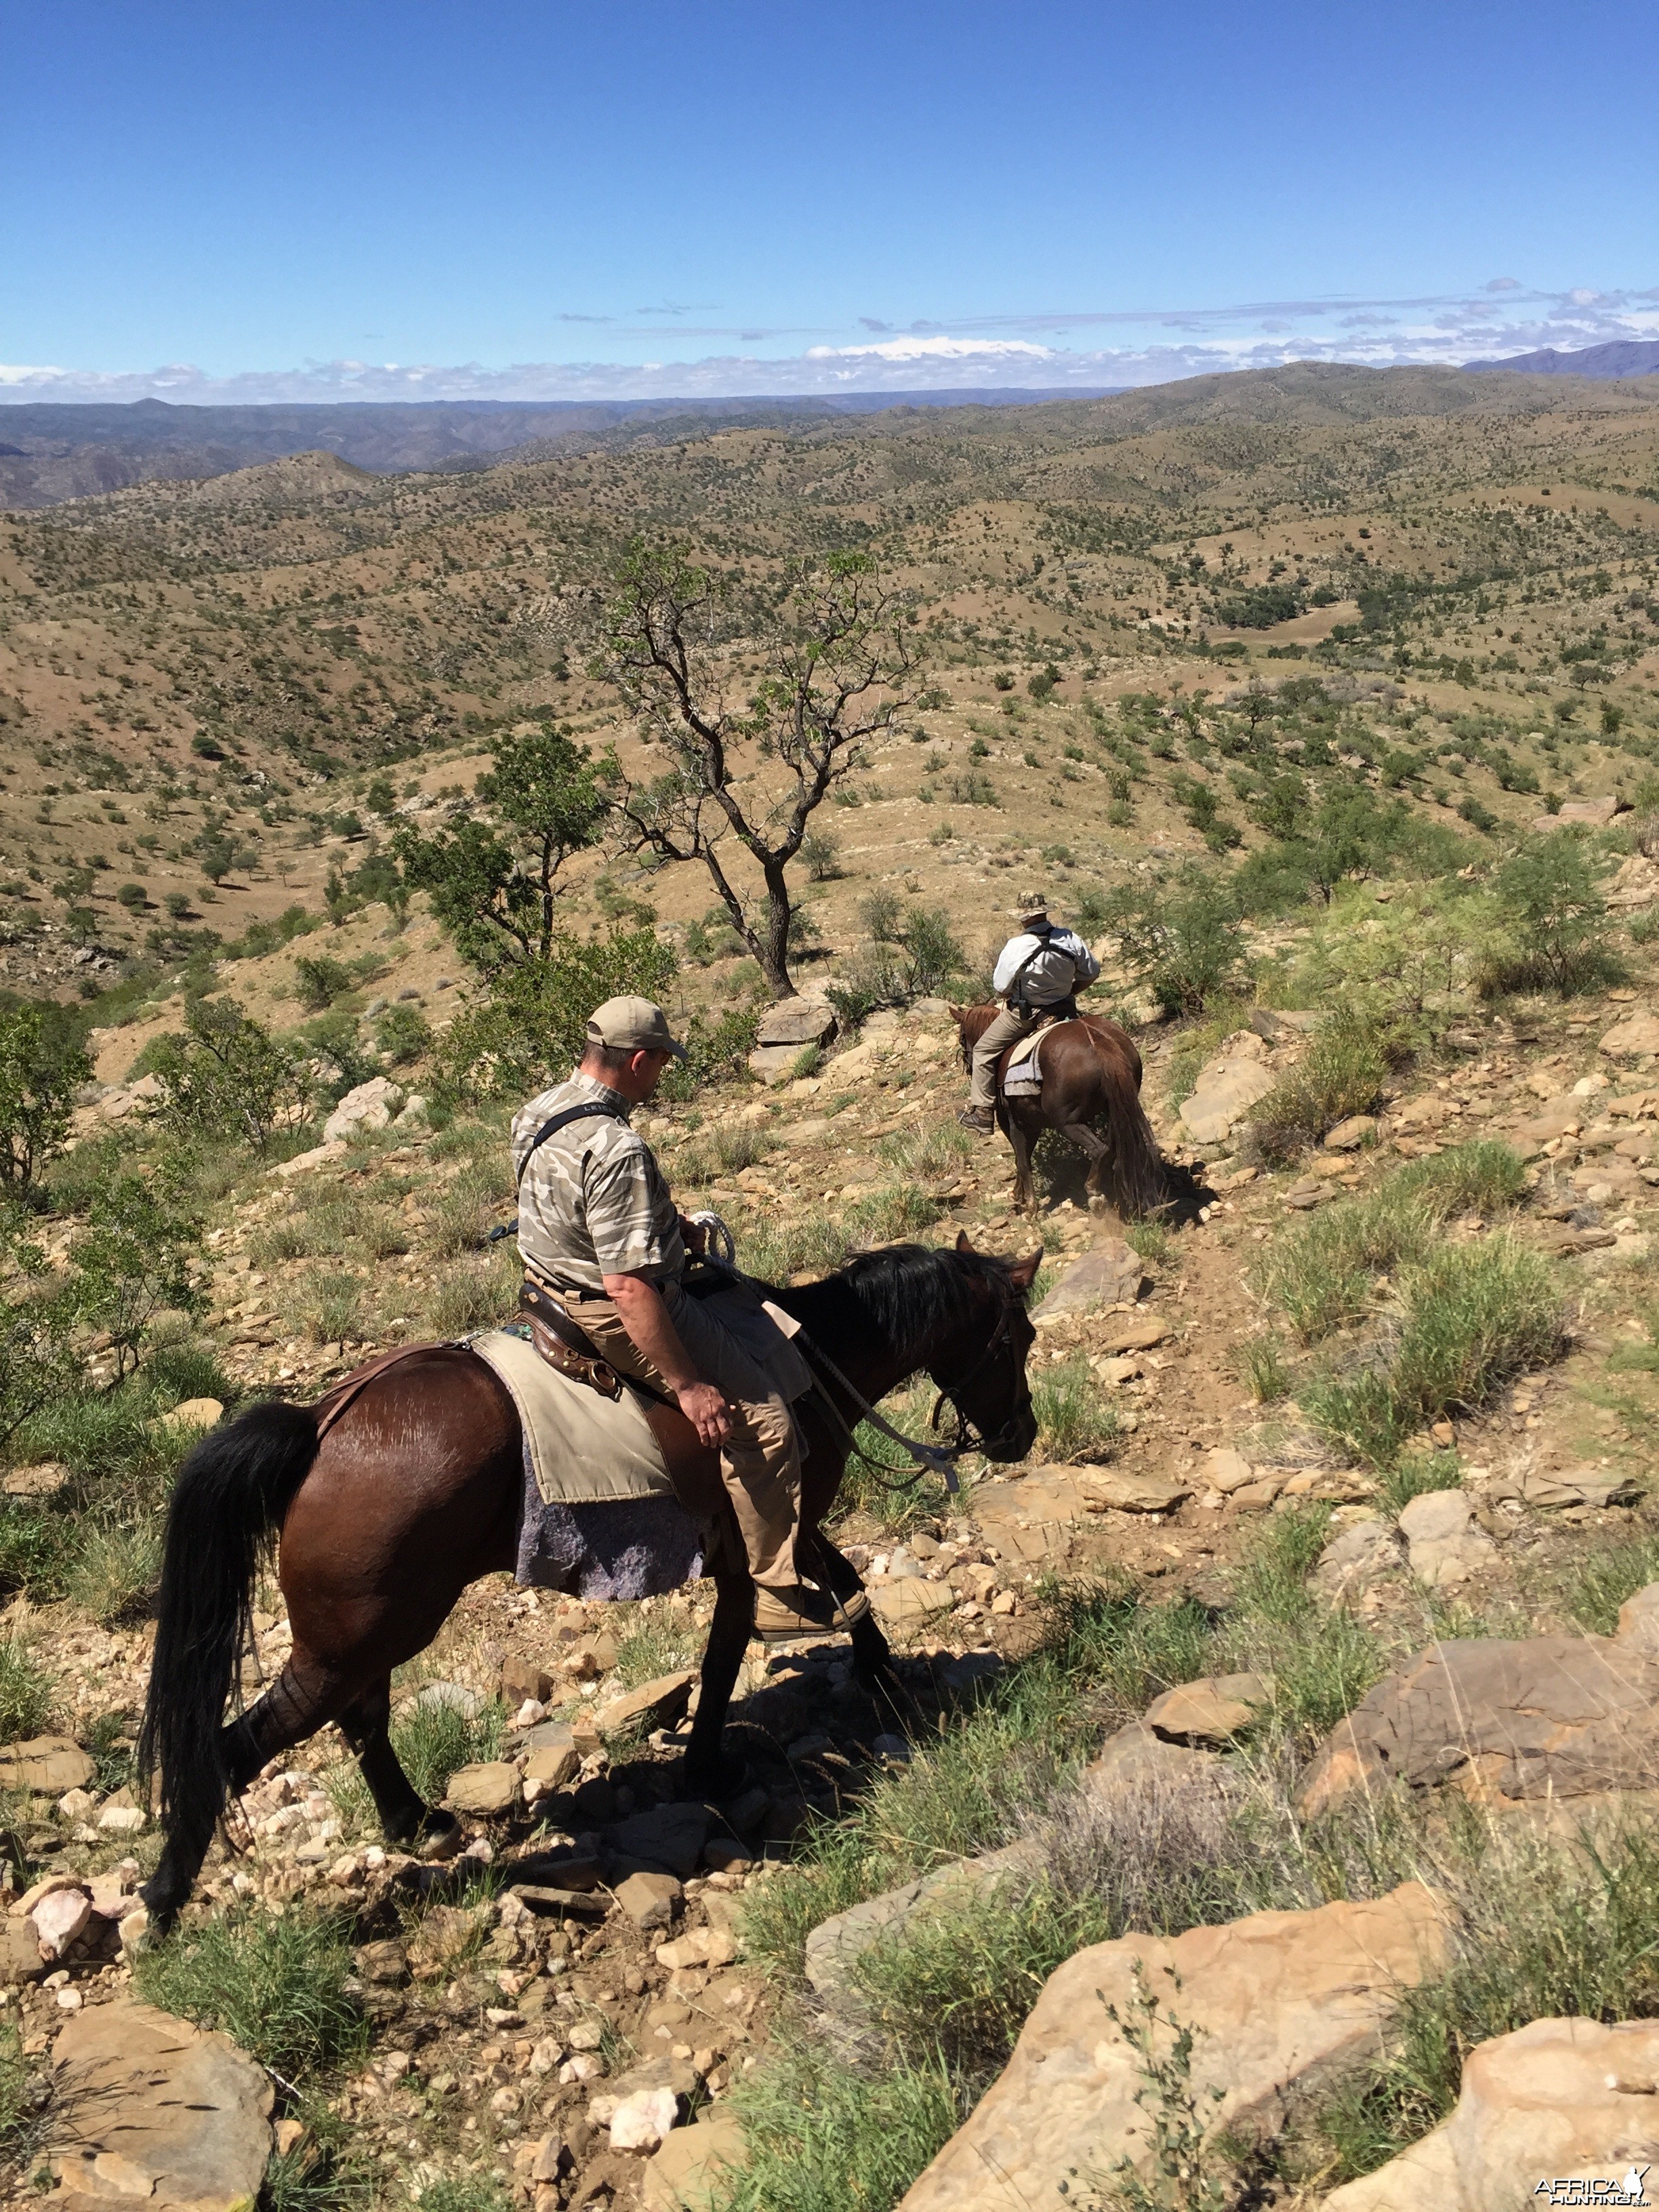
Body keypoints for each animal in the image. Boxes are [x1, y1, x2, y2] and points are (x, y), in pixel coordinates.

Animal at [136, 1238, 1040, 1929]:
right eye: (1018, 1339)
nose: (1020, 1436)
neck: (806, 1355)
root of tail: (319, 1425)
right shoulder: (763, 1529)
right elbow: (736, 1644)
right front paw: (714, 1767)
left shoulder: (777, 1530)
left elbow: (825, 1588)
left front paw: (876, 1670)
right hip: (352, 1639)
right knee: (234, 1749)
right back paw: (164, 1901)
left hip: (371, 1630)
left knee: (362, 1718)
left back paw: (416, 1823)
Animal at [946, 1008, 1168, 1221]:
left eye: (962, 1038)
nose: (969, 1066)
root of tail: (1097, 1039)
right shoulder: (1033, 1124)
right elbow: (1024, 1156)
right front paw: (1019, 1195)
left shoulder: (1013, 1121)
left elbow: (1022, 1160)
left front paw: (1029, 1208)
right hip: (1116, 1111)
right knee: (1119, 1148)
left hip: (1066, 1122)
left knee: (1099, 1150)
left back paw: (1094, 1194)